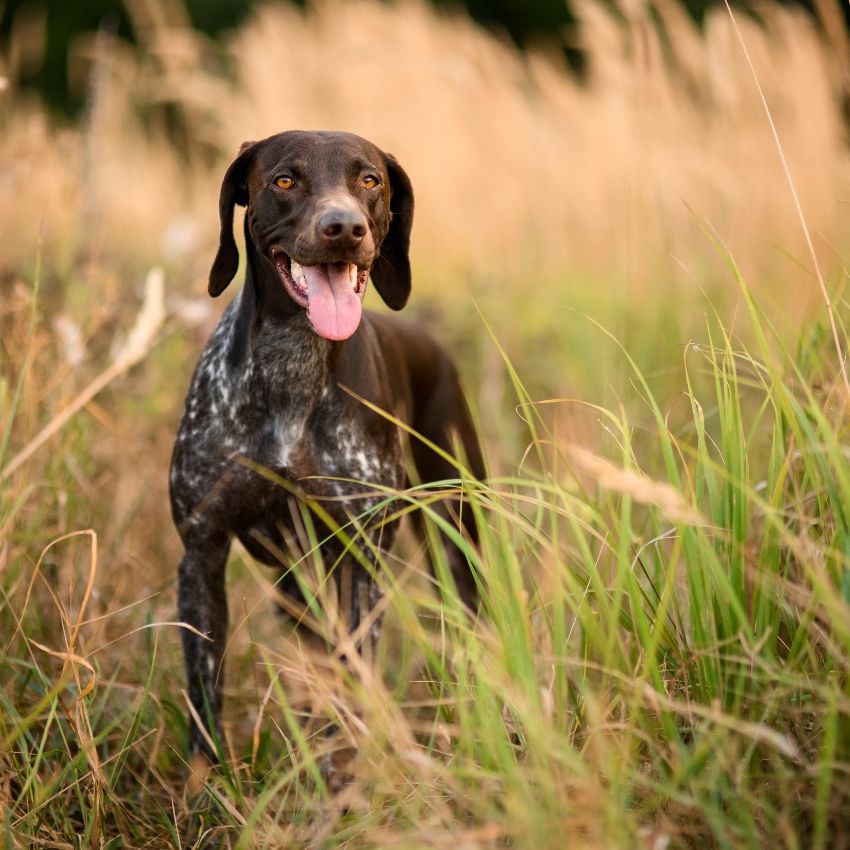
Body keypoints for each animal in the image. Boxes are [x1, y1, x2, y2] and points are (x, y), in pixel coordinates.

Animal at [169, 131, 484, 756]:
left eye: (370, 180)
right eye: (284, 180)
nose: (344, 228)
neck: (294, 366)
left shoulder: (361, 558)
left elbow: (355, 679)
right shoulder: (202, 551)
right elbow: (204, 699)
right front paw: (204, 781)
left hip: (455, 534)